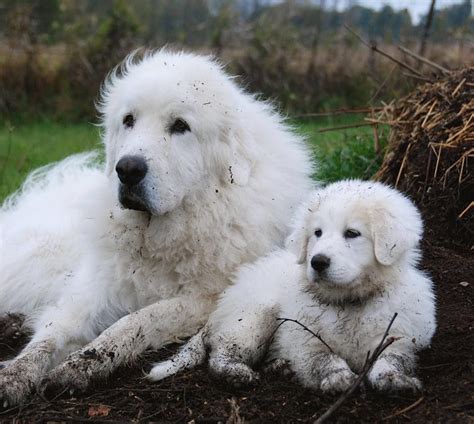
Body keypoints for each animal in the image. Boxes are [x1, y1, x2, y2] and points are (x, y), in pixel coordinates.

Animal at [0, 49, 314, 404]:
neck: (158, 236)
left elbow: (133, 322)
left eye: (180, 126)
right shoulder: (92, 287)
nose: (127, 169)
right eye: (129, 120)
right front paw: (15, 374)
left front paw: (80, 366)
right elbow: (51, 335)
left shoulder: (202, 300)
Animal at [152, 181, 436, 392]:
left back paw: (278, 366)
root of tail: (223, 302)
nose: (317, 262)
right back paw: (237, 372)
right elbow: (324, 358)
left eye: (352, 233)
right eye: (317, 233)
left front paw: (394, 380)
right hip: (253, 316)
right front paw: (338, 378)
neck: (347, 304)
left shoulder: (397, 338)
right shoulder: (304, 341)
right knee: (221, 353)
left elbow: (390, 360)